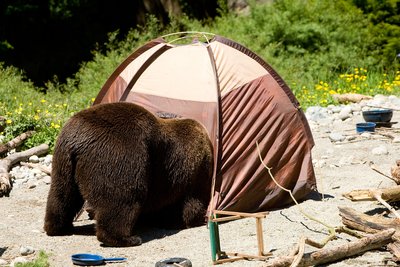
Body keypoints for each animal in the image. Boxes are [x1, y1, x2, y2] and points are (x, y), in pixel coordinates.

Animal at [43, 102, 214, 247]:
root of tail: (77, 140)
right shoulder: (192, 173)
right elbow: (191, 202)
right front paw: (190, 220)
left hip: (63, 162)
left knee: (62, 195)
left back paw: (58, 227)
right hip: (121, 154)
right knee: (123, 197)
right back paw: (126, 238)